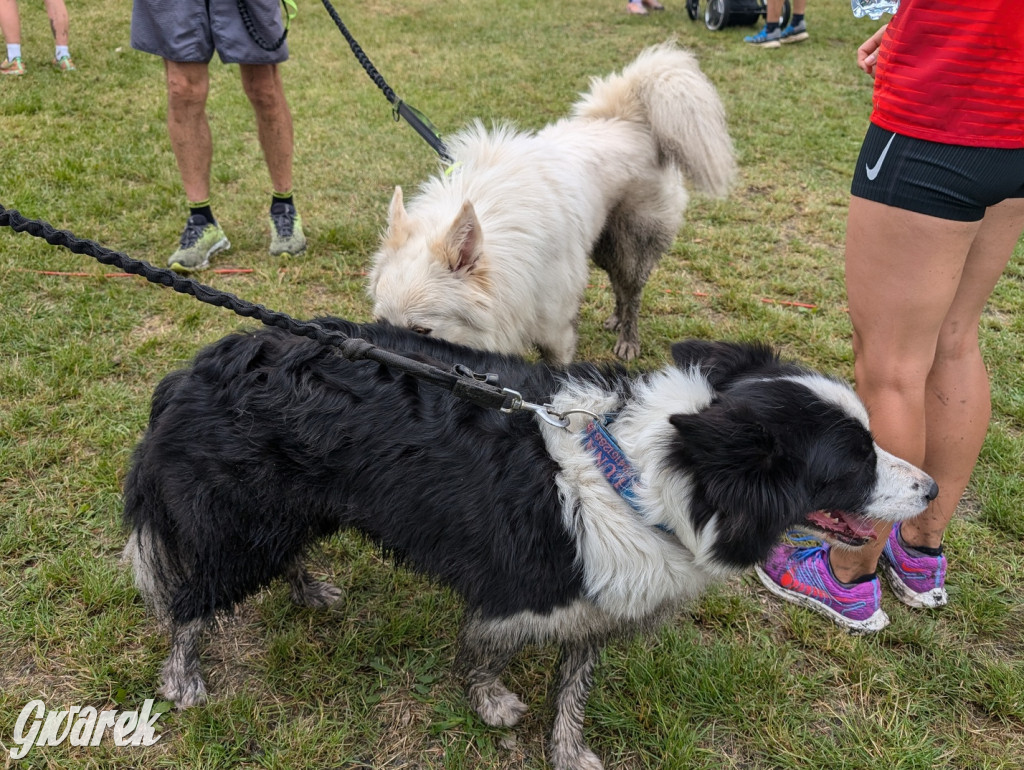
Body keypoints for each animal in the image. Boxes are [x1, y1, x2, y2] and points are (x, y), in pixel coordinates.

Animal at [121, 319, 937, 770]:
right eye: (853, 462)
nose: (933, 489)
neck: (642, 480)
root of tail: (194, 366)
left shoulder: (596, 602)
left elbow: (573, 687)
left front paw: (567, 751)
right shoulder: (520, 587)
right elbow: (484, 648)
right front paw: (491, 705)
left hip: (291, 512)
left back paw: (310, 590)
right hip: (247, 524)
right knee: (190, 600)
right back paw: (183, 682)